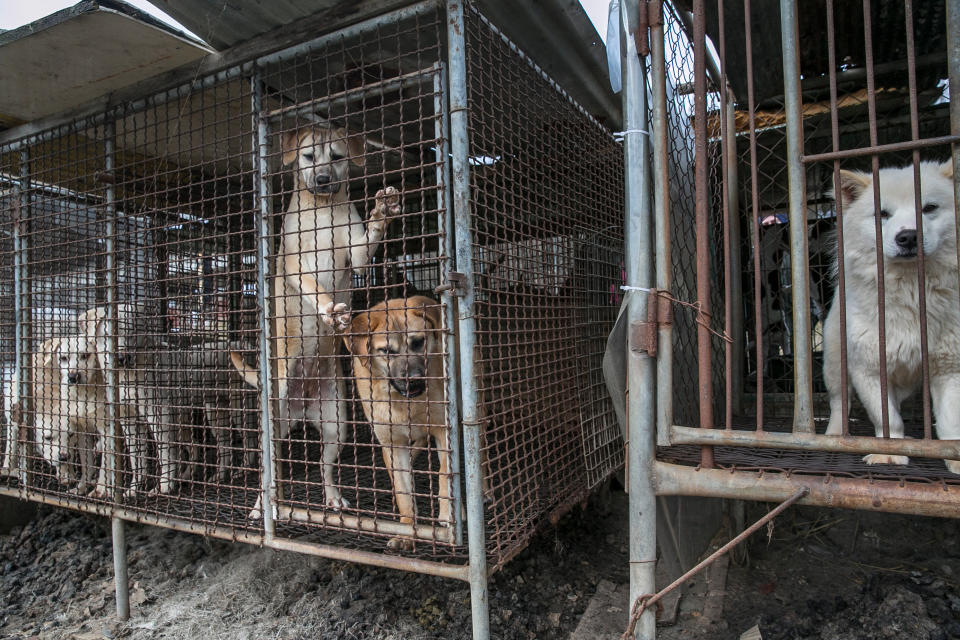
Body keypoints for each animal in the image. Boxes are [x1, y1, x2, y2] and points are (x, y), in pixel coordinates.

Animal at [248, 126, 402, 520]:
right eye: (308, 157)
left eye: (337, 157)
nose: (322, 179)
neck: (322, 211)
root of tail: (301, 408)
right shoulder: (294, 264)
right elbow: (313, 286)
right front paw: (329, 309)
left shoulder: (357, 253)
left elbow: (366, 243)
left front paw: (383, 211)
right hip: (273, 423)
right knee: (268, 470)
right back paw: (261, 506)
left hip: (337, 424)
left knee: (324, 466)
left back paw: (333, 498)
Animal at [344, 296, 452, 552]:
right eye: (385, 351)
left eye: (418, 342)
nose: (414, 380)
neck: (405, 402)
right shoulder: (392, 443)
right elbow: (403, 492)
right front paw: (407, 532)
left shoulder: (444, 430)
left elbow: (444, 472)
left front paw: (447, 514)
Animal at [820, 160, 960, 472]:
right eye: (882, 214)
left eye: (929, 208)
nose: (907, 236)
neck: (910, 290)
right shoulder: (868, 366)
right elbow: (887, 418)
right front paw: (889, 454)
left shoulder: (948, 365)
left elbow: (950, 420)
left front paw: (953, 455)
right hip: (835, 363)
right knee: (838, 403)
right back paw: (834, 436)